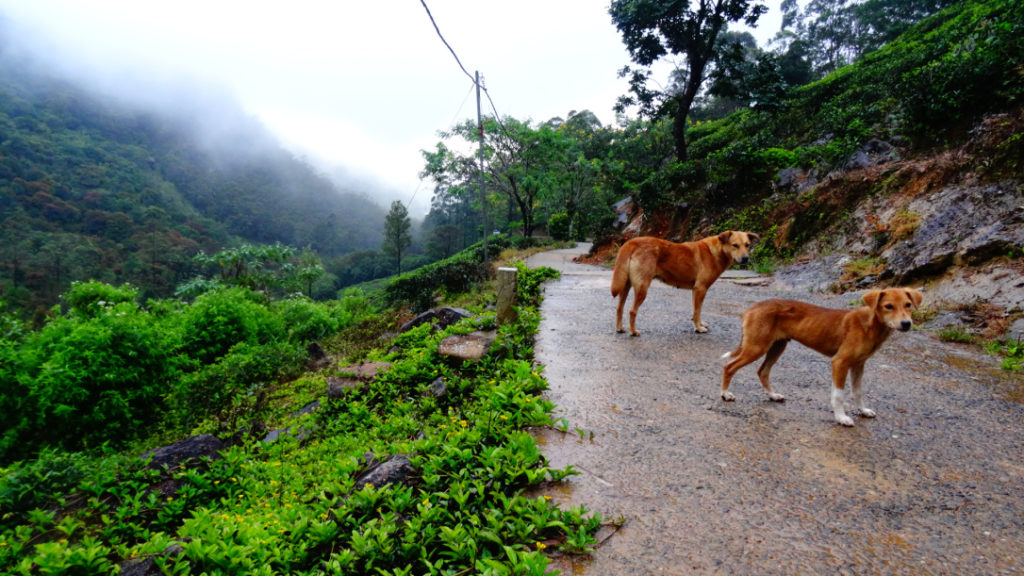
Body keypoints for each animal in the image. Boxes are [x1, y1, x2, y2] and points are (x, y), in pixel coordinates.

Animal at [606, 229, 761, 334]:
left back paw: (619, 328)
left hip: (625, 286)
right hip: (642, 288)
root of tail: (632, 242)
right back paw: (633, 331)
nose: (746, 258)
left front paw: (698, 324)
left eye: (747, 245)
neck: (716, 251)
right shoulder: (701, 288)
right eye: (735, 245)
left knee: (619, 308)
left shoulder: (695, 290)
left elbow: (696, 310)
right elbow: (697, 311)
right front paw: (698, 328)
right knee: (632, 311)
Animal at [720, 286, 929, 426]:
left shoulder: (859, 365)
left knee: (762, 371)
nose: (906, 324)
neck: (870, 325)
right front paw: (841, 417)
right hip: (756, 347)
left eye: (908, 305)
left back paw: (772, 395)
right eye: (888, 306)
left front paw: (863, 410)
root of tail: (752, 308)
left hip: (776, 347)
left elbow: (858, 391)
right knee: (729, 367)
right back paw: (725, 394)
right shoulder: (840, 362)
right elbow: (838, 395)